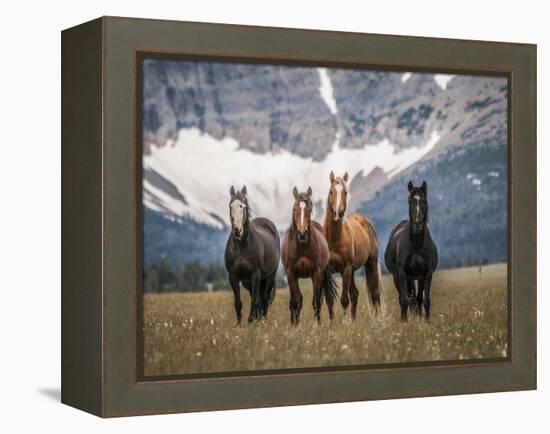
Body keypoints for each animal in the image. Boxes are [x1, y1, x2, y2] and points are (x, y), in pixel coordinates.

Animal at [225, 185, 282, 324]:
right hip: (249, 282)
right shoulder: (233, 276)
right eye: (230, 206)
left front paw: (251, 320)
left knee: (265, 298)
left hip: (269, 276)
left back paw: (263, 319)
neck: (241, 247)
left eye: (242, 206)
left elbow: (255, 300)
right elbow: (238, 302)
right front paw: (239, 324)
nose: (237, 230)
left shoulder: (255, 274)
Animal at [282, 186, 338, 326]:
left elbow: (316, 301)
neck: (302, 246)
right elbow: (296, 301)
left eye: (310, 209)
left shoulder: (316, 273)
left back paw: (332, 322)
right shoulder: (291, 274)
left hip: (323, 274)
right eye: (294, 209)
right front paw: (294, 325)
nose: (302, 233)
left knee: (327, 299)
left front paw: (317, 325)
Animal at [324, 172, 384, 318]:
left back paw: (379, 320)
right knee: (355, 294)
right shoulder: (326, 272)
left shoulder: (346, 269)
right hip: (352, 271)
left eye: (345, 192)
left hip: (370, 263)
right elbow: (329, 300)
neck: (334, 240)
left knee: (375, 293)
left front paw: (345, 322)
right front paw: (332, 322)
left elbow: (344, 299)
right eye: (331, 191)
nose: (338, 213)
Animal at [384, 181, 440, 320]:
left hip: (416, 278)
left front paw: (426, 320)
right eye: (409, 201)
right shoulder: (402, 274)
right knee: (405, 298)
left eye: (424, 200)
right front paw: (404, 321)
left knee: (416, 298)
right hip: (398, 277)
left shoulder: (426, 274)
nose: (417, 224)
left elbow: (425, 299)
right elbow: (404, 300)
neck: (416, 244)